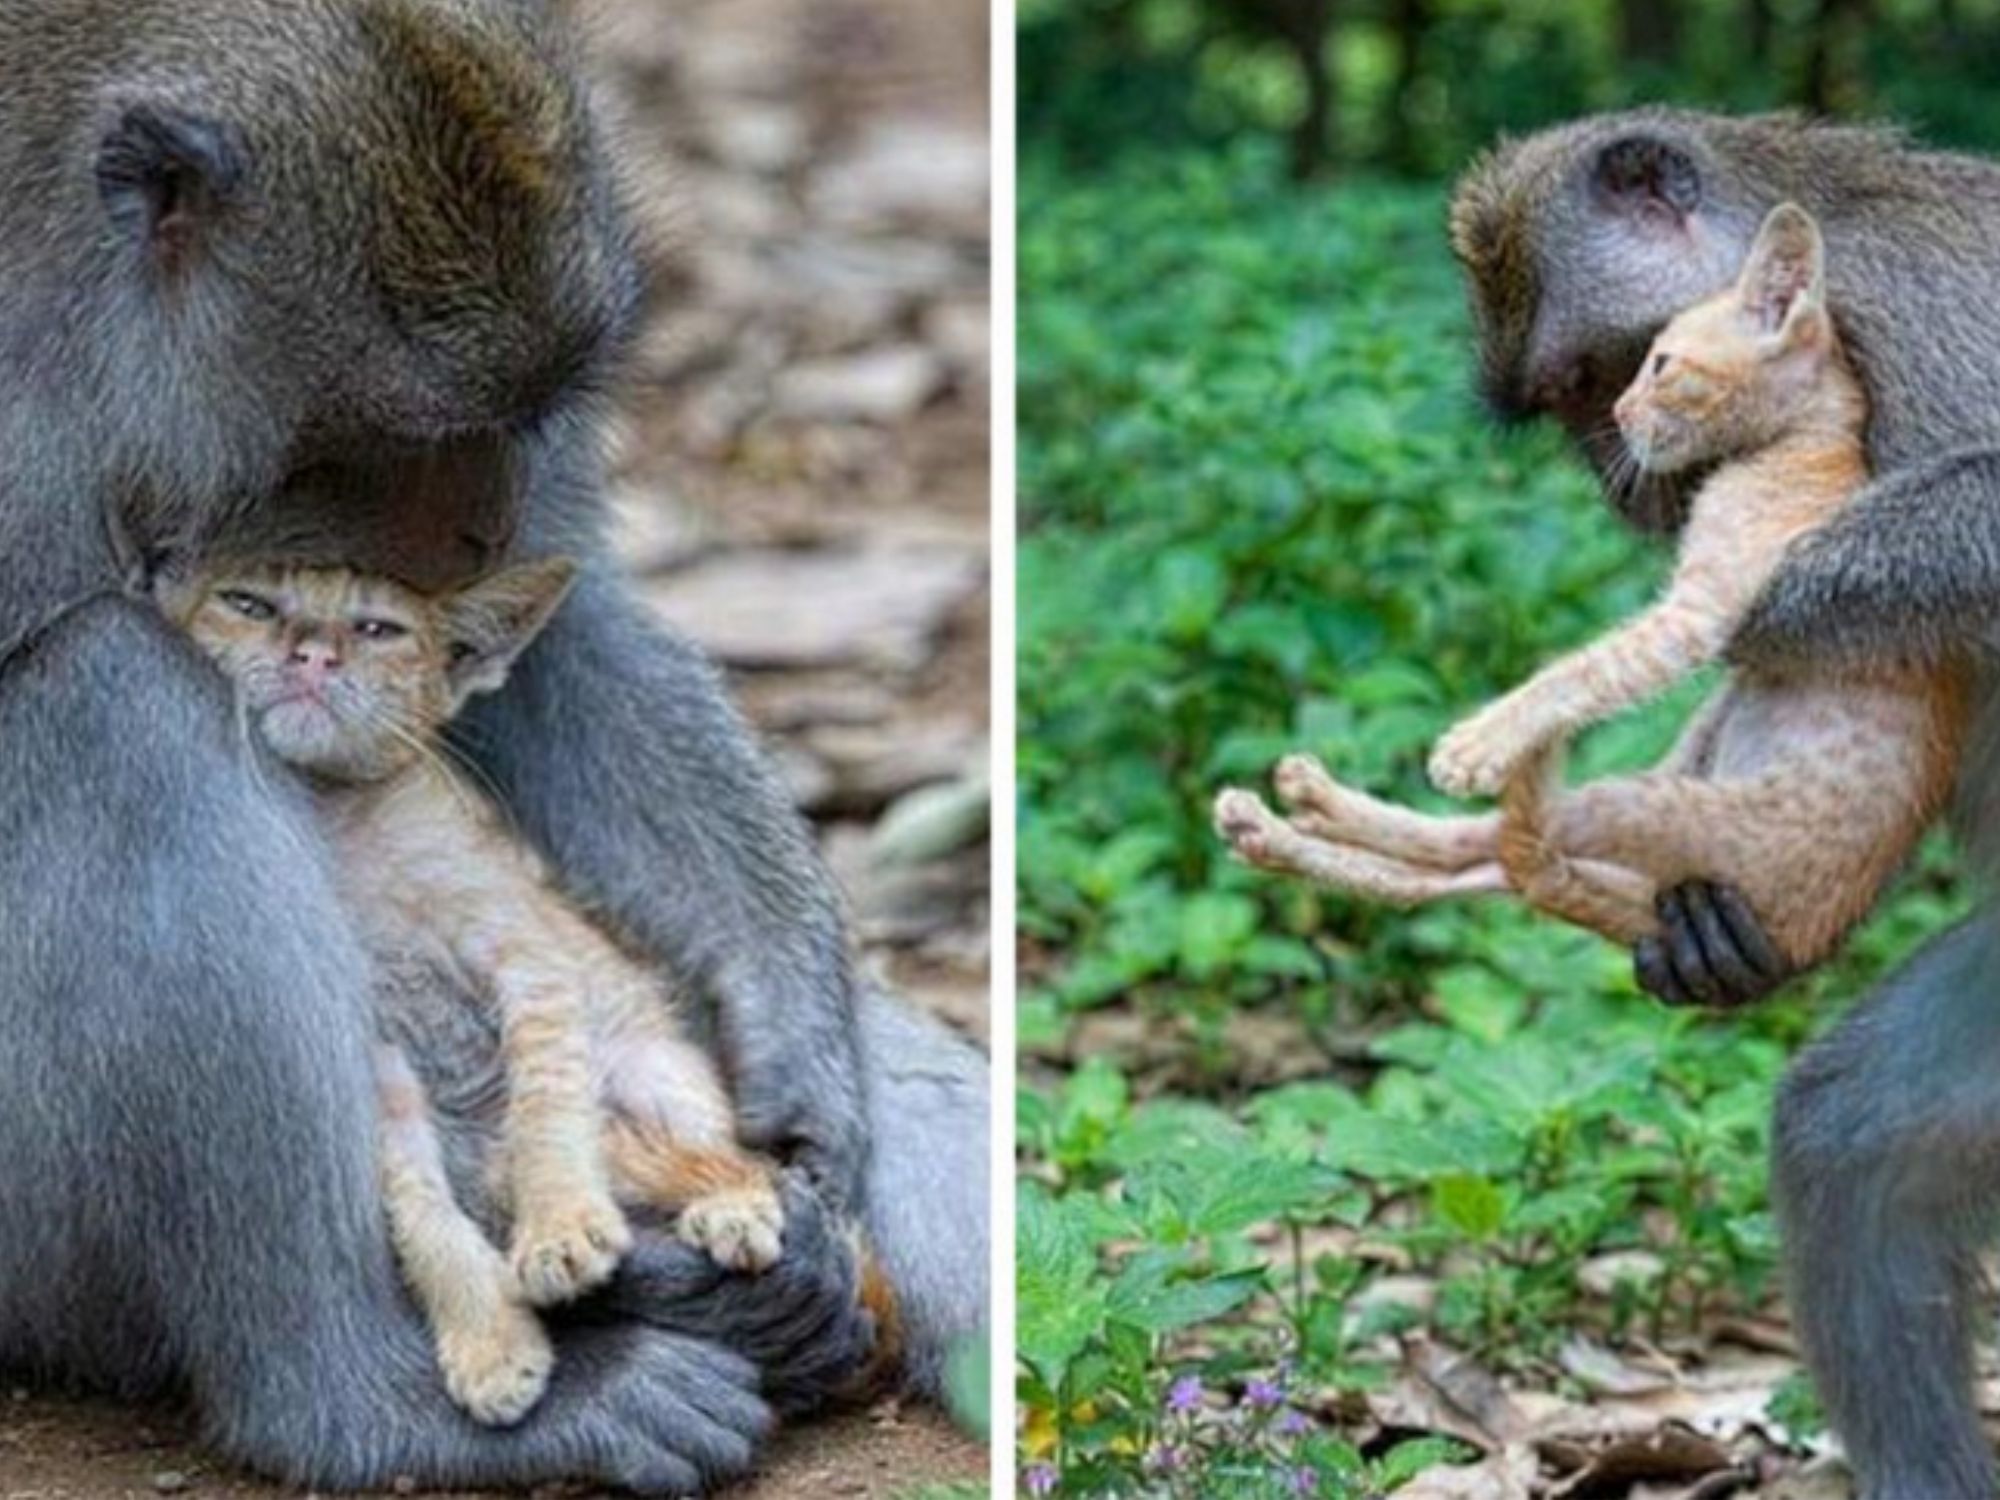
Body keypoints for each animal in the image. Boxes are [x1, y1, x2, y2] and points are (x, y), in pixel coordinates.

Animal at [164, 560, 892, 1424]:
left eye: (379, 629)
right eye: (248, 604)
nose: (309, 654)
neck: (344, 823)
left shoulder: (532, 967)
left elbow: (547, 1112)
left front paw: (561, 1230)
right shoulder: (380, 1062)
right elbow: (420, 1215)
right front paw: (490, 1341)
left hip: (655, 1073)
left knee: (730, 1157)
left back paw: (735, 1208)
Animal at [1216, 200, 1968, 968]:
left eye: (1662, 364)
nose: (1619, 413)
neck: (1807, 443)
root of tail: (1801, 938)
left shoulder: (1699, 613)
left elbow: (1583, 669)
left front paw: (1481, 743)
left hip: (1653, 807)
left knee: (1514, 853)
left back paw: (1307, 813)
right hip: (1687, 750)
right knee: (1489, 862)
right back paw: (1280, 816)